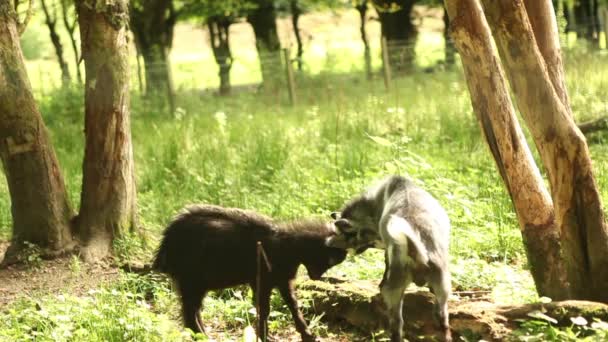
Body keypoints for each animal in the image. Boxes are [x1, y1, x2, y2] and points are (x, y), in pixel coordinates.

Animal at [153, 204, 346, 340]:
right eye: (330, 260)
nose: (317, 276)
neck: (287, 246)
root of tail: (165, 245)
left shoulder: (282, 280)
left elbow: (293, 305)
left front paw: (308, 336)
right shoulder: (263, 280)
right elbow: (264, 308)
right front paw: (265, 337)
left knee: (193, 309)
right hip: (192, 280)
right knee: (190, 310)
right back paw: (202, 336)